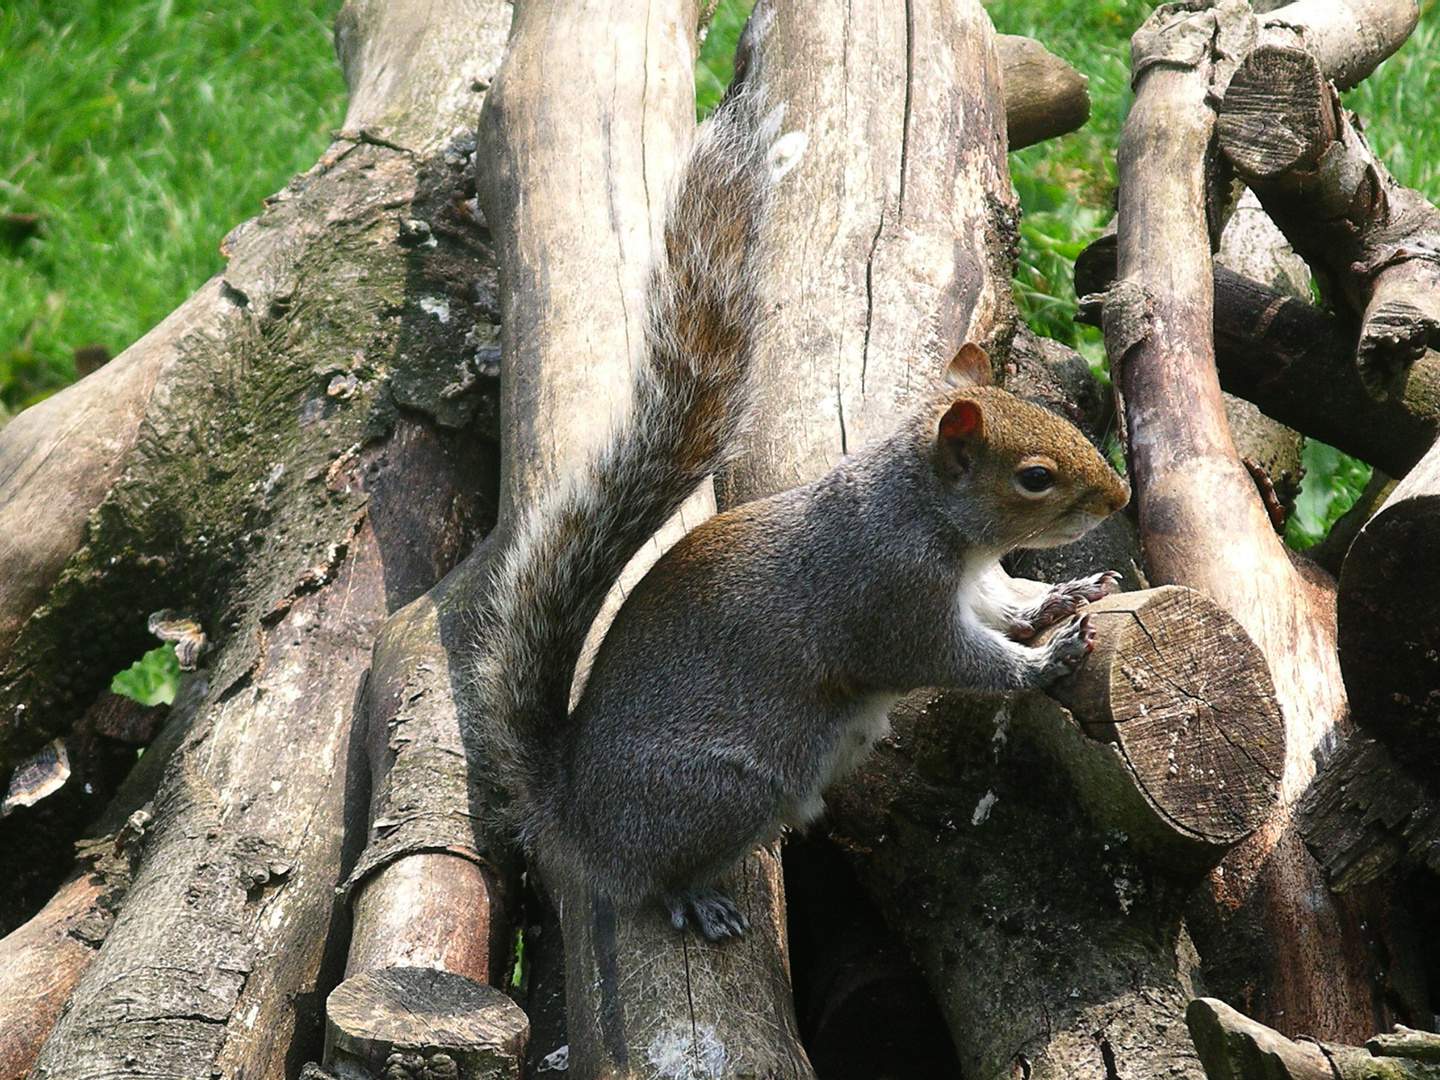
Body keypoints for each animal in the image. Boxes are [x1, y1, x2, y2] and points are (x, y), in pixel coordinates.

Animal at [469, 55, 1123, 944]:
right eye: (1034, 476)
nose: (1120, 495)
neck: (932, 521)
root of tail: (574, 815)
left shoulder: (971, 581)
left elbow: (1006, 604)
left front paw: (1065, 595)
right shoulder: (889, 599)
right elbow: (953, 660)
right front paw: (1044, 660)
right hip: (725, 790)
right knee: (654, 879)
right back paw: (693, 898)